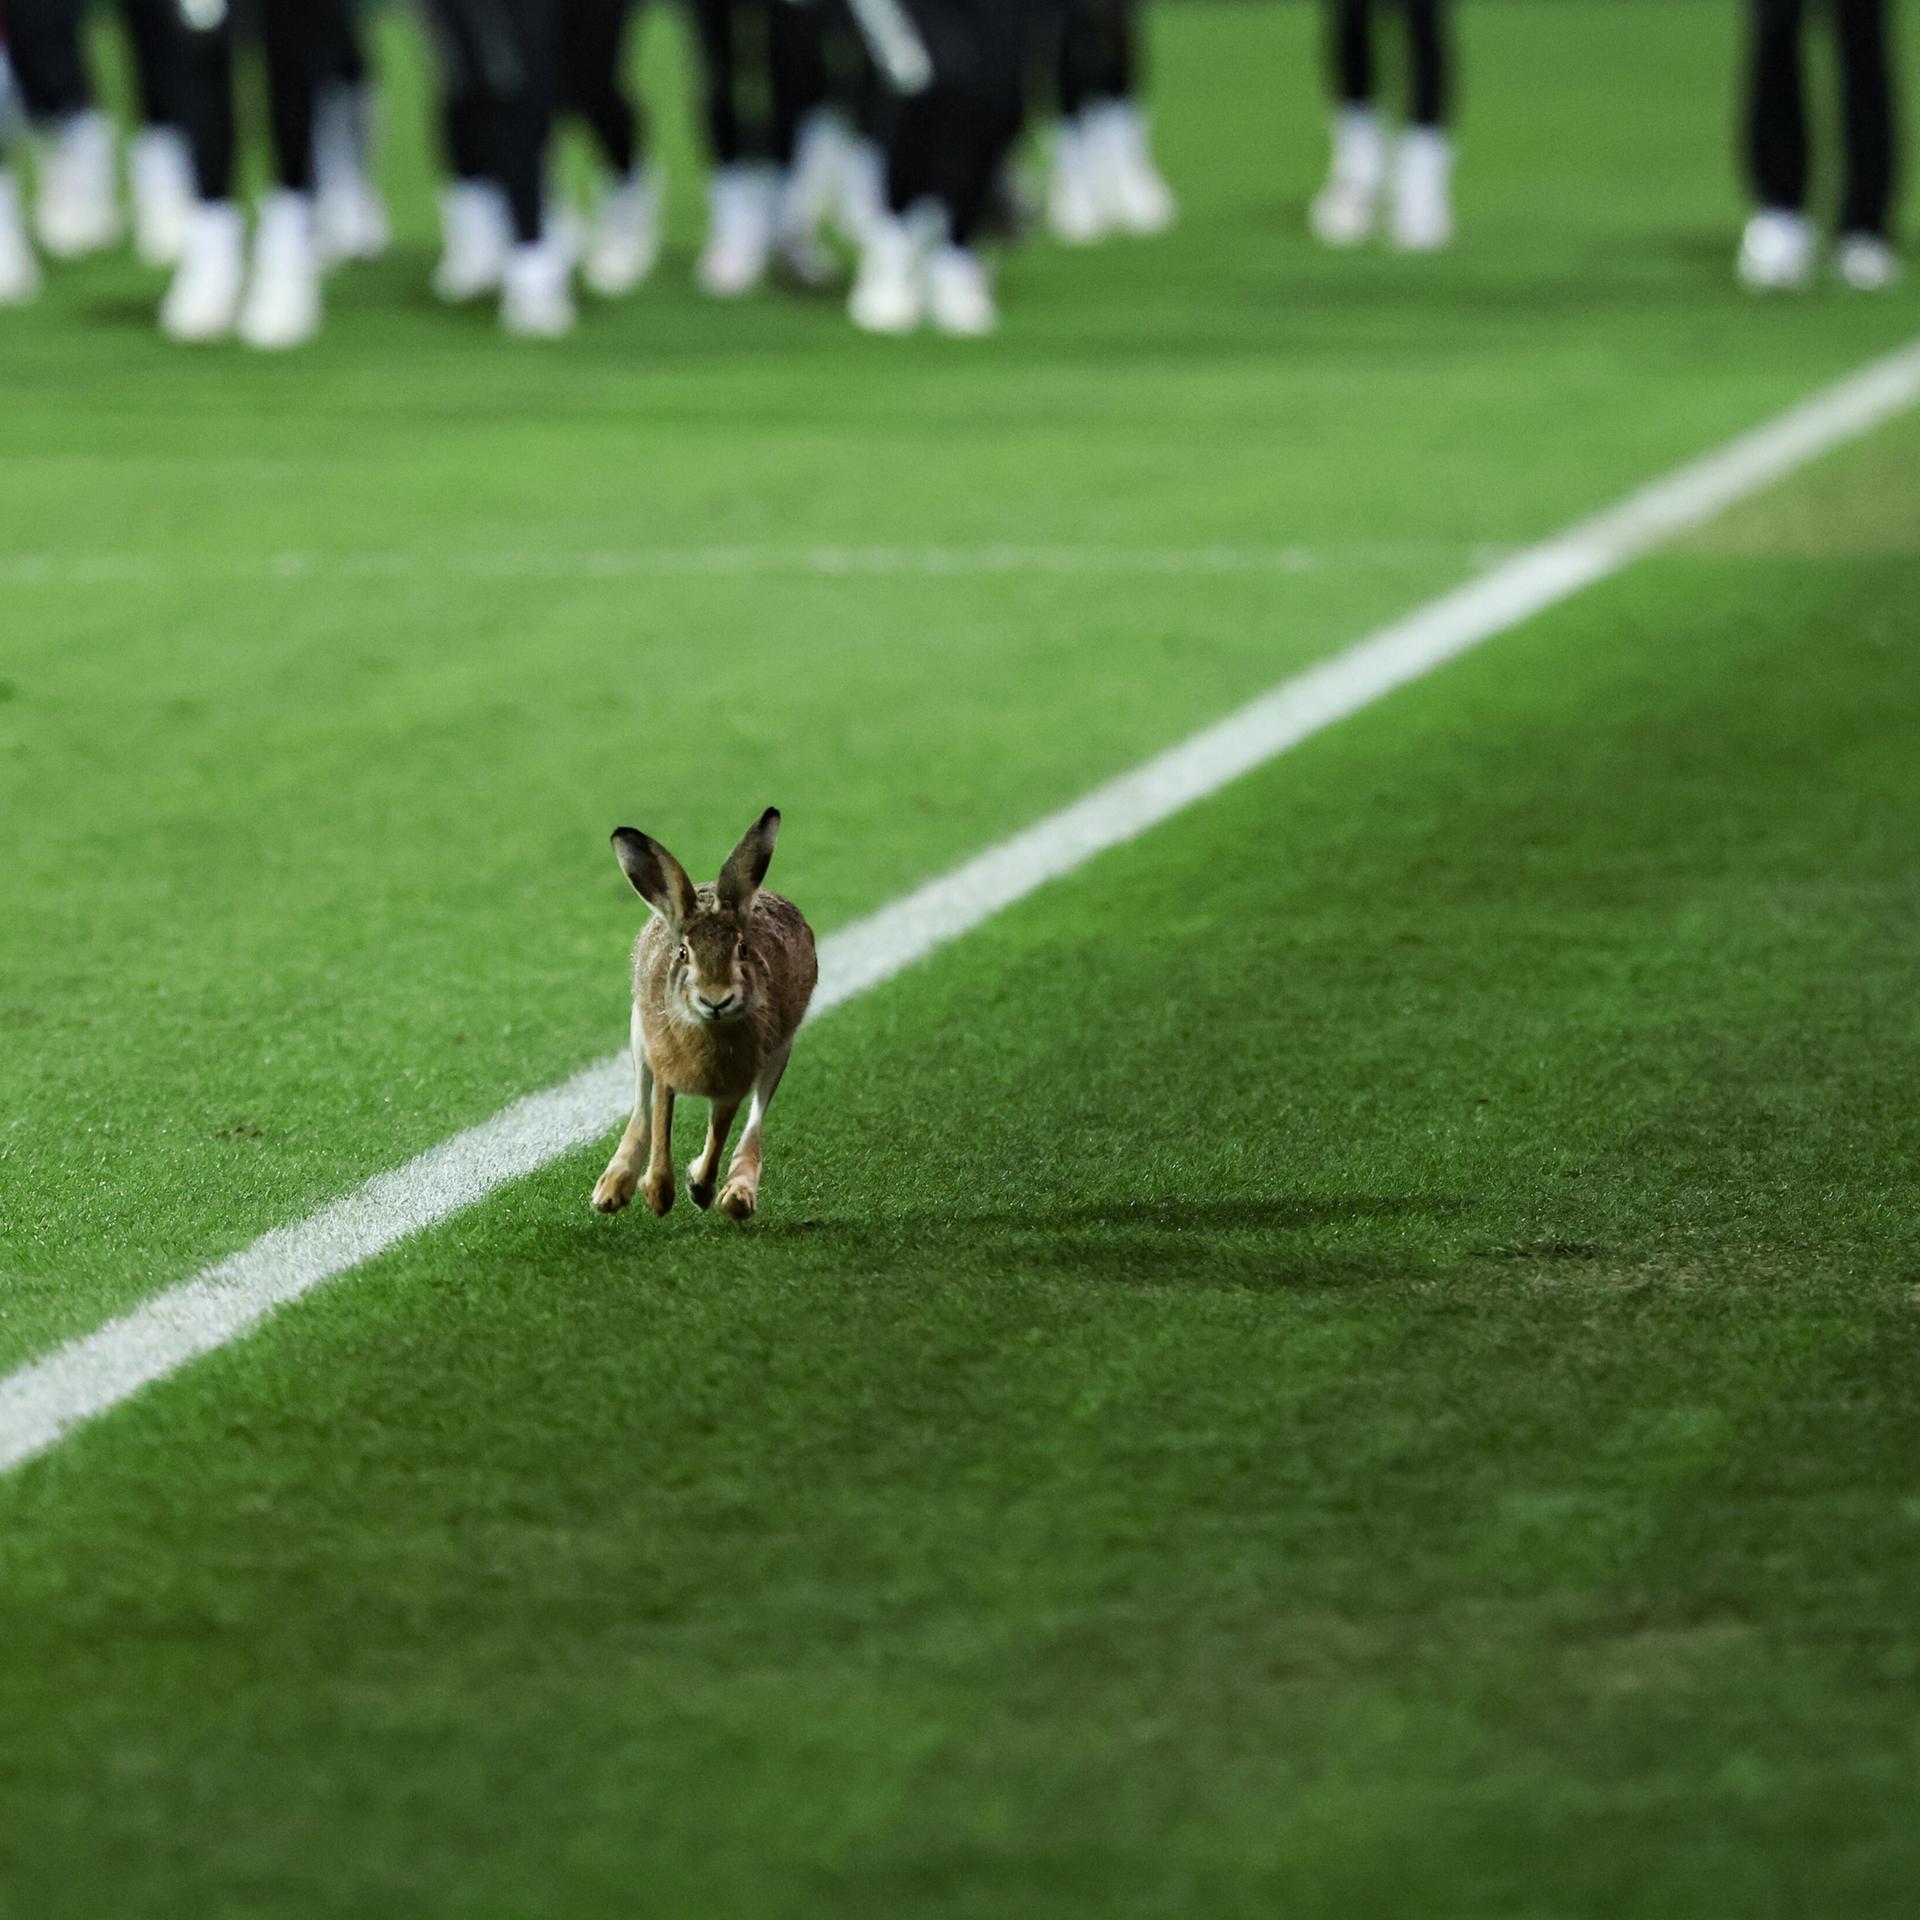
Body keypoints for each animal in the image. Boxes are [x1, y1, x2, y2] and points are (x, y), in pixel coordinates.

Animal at [592, 808, 817, 1222]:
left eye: (742, 949)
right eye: (683, 953)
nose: (716, 1000)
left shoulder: (732, 1087)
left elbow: (718, 1138)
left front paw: (699, 1187)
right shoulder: (665, 1068)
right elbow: (660, 1123)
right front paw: (658, 1193)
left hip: (779, 1053)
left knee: (754, 1123)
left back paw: (738, 1196)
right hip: (638, 1033)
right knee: (640, 1106)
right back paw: (612, 1189)